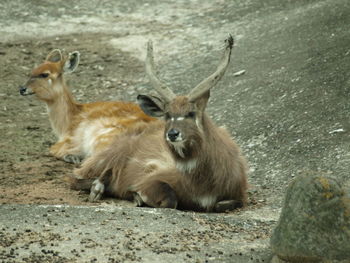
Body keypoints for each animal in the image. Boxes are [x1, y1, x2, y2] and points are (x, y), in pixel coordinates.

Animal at [19, 49, 154, 164]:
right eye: (32, 71)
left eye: (45, 74)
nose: (22, 89)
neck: (66, 124)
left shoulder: (70, 139)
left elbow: (53, 149)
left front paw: (72, 156)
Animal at [72, 35, 246, 212]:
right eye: (168, 115)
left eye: (191, 113)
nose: (173, 134)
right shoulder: (151, 179)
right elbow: (170, 199)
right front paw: (137, 195)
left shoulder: (239, 196)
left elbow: (223, 204)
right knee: (80, 179)